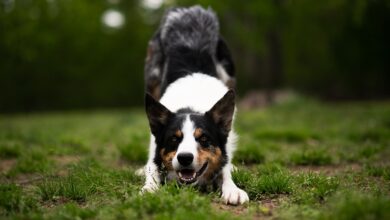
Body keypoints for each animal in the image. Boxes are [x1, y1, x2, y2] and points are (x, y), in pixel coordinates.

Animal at [142, 5, 248, 205]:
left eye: (204, 139)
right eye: (174, 139)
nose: (184, 158)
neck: (190, 104)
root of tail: (188, 9)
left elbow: (225, 168)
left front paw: (233, 189)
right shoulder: (154, 147)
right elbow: (152, 168)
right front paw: (149, 188)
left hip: (229, 73)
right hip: (152, 75)